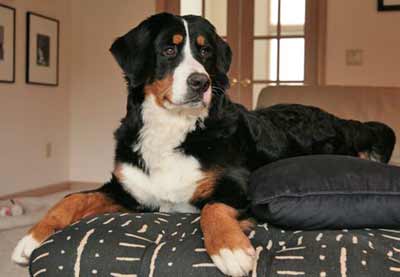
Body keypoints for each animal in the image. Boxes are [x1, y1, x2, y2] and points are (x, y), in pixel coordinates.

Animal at [13, 11, 396, 274]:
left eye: (206, 52)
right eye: (169, 49)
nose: (200, 82)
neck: (172, 129)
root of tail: (333, 117)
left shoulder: (240, 184)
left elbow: (213, 208)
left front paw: (231, 250)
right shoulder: (131, 193)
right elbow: (73, 198)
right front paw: (30, 237)